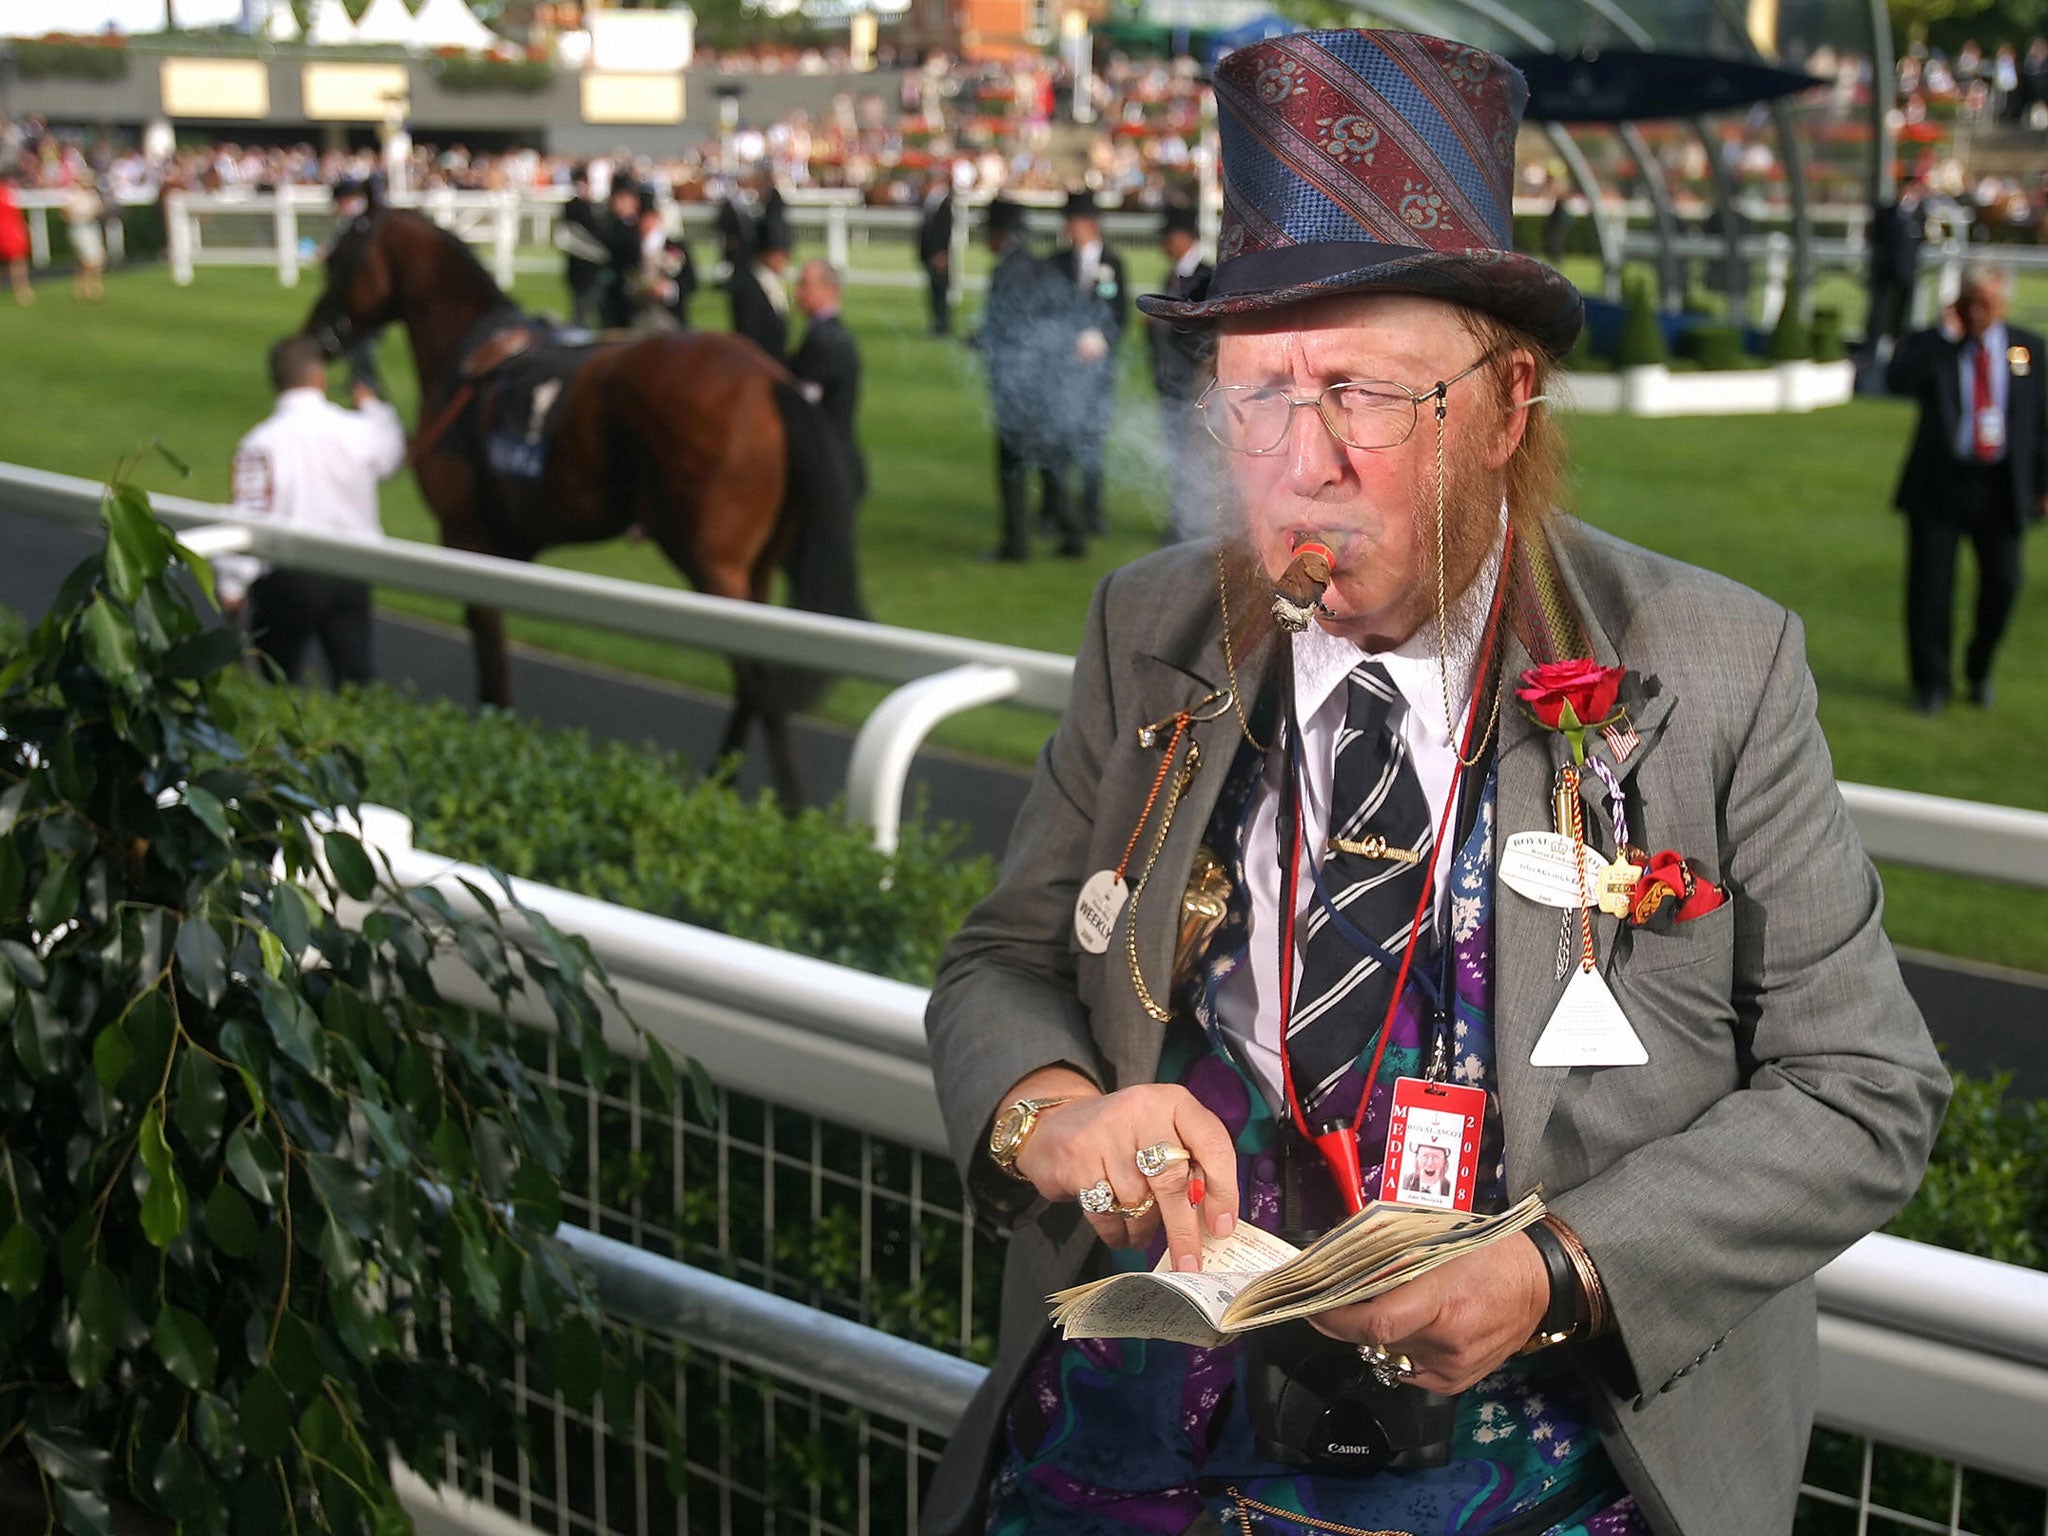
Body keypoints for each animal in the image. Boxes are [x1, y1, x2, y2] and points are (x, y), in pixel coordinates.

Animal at [299, 211, 860, 819]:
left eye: (339, 259)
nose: (314, 335)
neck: (467, 355)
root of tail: (772, 380)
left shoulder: (466, 536)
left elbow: (490, 650)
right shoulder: (507, 547)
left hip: (714, 565)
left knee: (757, 680)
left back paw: (785, 805)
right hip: (757, 566)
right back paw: (723, 783)